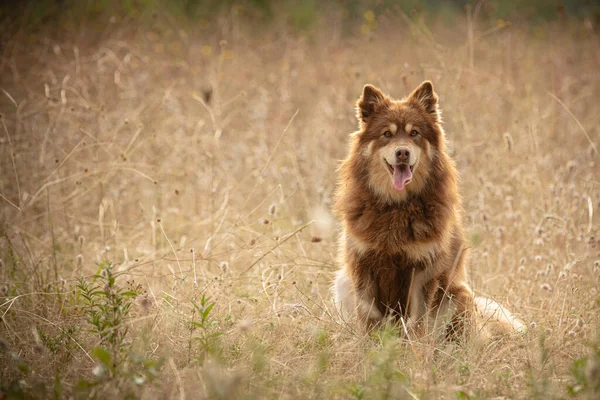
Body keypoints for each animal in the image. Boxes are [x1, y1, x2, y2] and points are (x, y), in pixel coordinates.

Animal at [330, 83, 524, 340]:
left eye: (414, 133)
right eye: (387, 134)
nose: (402, 152)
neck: (397, 207)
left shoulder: (423, 270)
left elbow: (418, 324)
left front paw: (415, 350)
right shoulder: (363, 264)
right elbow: (368, 318)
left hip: (459, 295)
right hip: (343, 281)